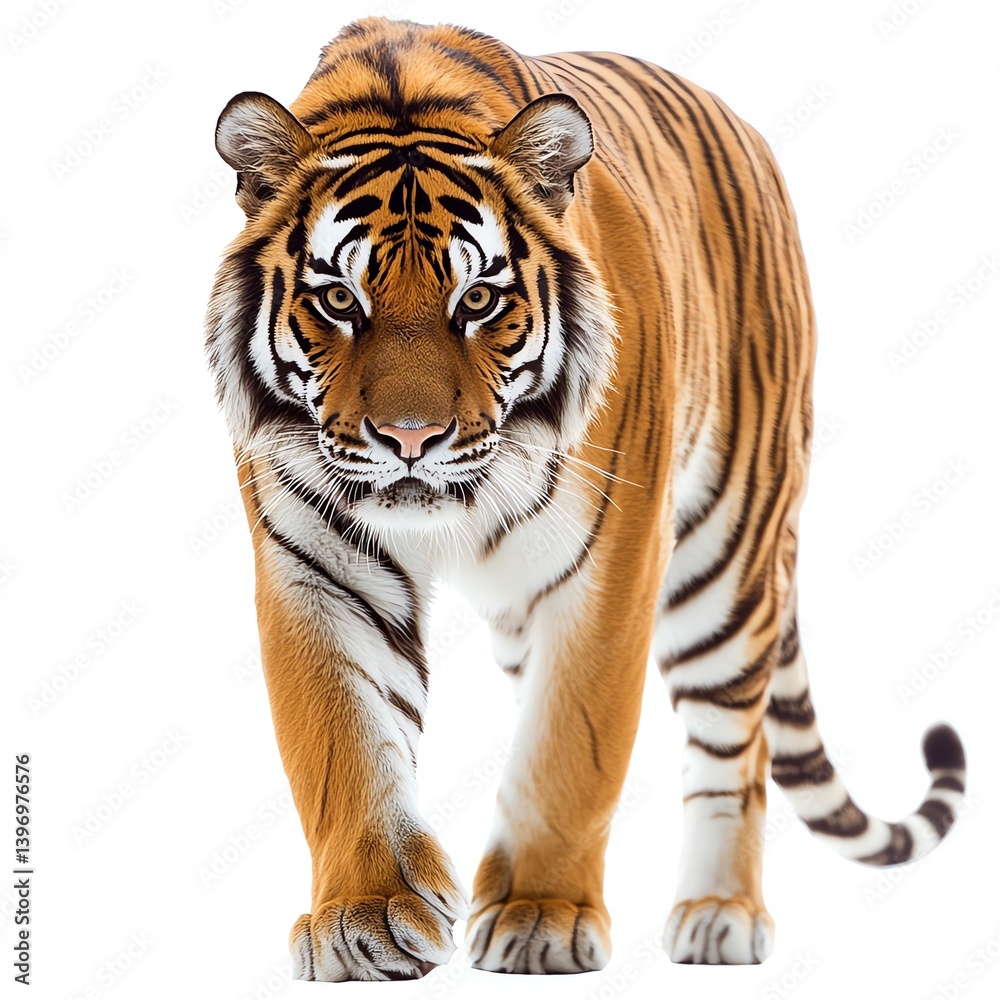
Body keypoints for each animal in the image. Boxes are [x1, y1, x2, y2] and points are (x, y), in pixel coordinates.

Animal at [205, 16, 967, 980]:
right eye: (340, 298)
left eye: (478, 299)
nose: (410, 439)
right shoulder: (318, 562)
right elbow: (343, 742)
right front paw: (366, 916)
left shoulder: (611, 563)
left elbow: (573, 745)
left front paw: (541, 915)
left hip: (726, 557)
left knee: (737, 741)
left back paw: (721, 913)